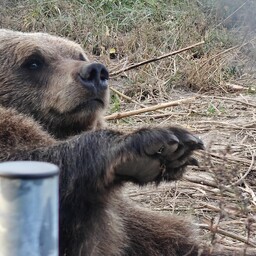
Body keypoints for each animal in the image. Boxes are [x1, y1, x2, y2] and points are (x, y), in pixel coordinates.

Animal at [0, 29, 220, 255]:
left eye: (79, 55)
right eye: (33, 61)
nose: (95, 72)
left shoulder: (127, 220)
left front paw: (174, 153)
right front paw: (146, 150)